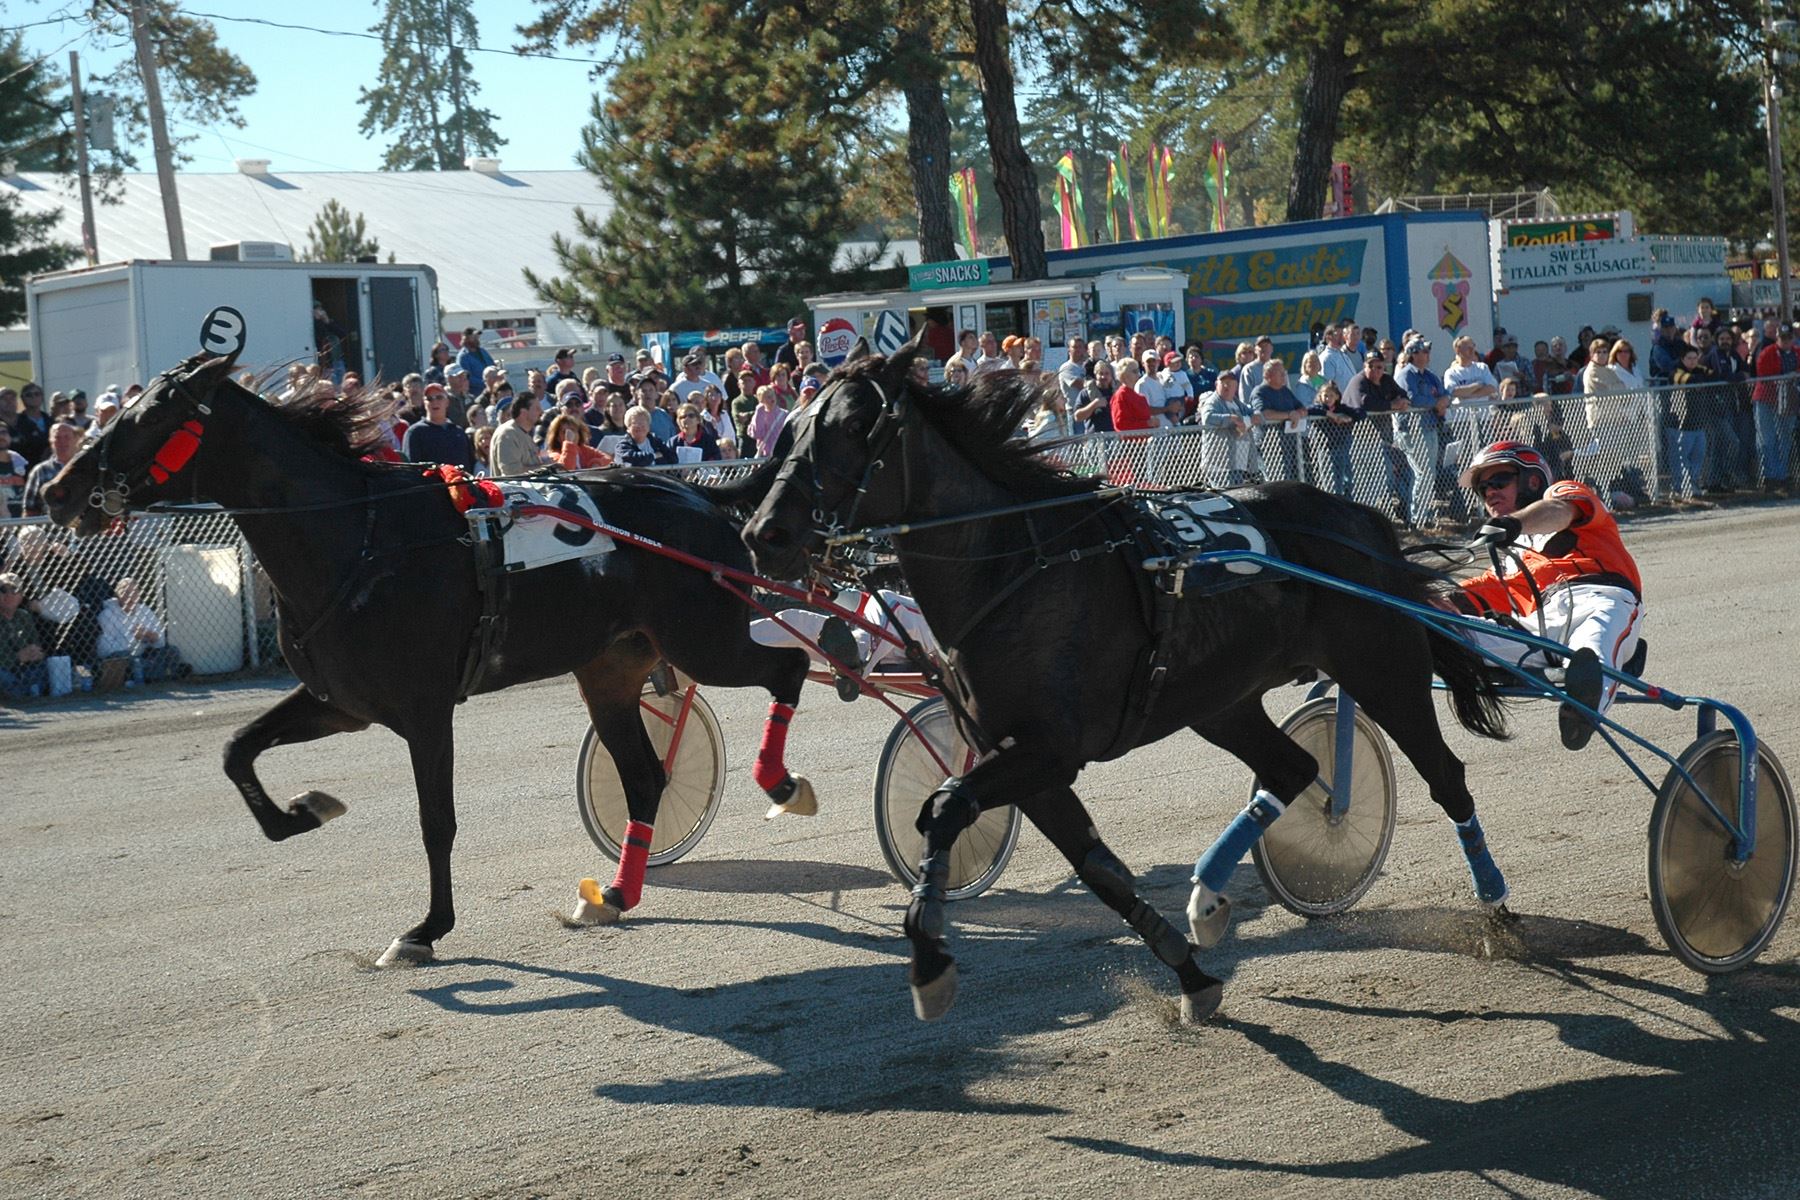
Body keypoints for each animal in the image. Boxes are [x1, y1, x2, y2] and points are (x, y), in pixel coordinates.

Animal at [42, 345, 817, 964]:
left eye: (149, 417)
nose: (57, 489)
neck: (358, 538)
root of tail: (693, 495)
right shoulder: (341, 701)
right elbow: (238, 750)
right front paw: (303, 811)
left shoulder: (424, 709)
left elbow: (434, 822)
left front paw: (425, 929)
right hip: (610, 670)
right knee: (647, 777)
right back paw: (618, 893)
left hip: (704, 638)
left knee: (787, 668)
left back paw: (780, 782)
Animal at [738, 336, 1512, 1021]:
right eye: (791, 429)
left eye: (854, 426)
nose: (763, 533)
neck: (1013, 568)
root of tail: (1366, 520)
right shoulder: (1025, 761)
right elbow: (1099, 870)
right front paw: (1191, 973)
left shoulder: (1050, 749)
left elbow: (945, 806)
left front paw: (929, 962)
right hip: (1220, 699)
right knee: (1292, 768)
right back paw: (1206, 900)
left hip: (1383, 670)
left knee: (1445, 777)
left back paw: (1498, 909)